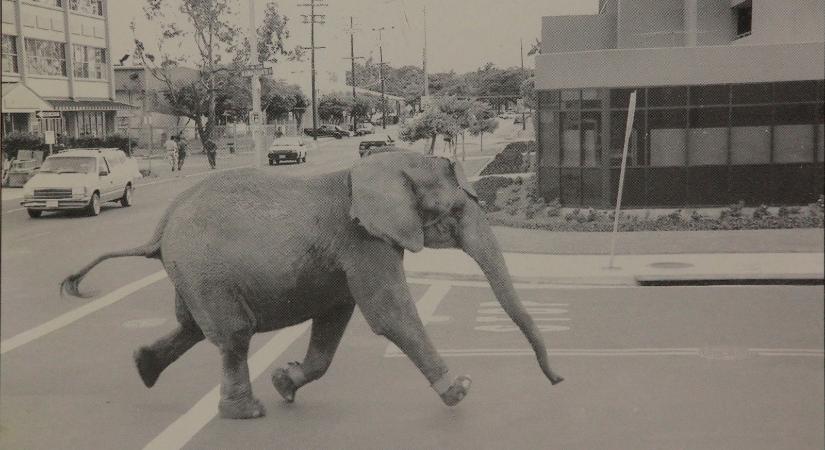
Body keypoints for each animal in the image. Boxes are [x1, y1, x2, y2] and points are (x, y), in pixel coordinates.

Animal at [61, 151, 564, 418]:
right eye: (457, 211)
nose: (558, 380)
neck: (380, 167)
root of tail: (160, 227)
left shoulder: (352, 250)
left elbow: (335, 317)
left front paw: (286, 382)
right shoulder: (363, 240)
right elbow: (389, 315)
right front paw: (459, 390)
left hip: (191, 273)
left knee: (192, 327)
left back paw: (143, 367)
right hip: (204, 270)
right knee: (233, 334)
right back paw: (247, 413)